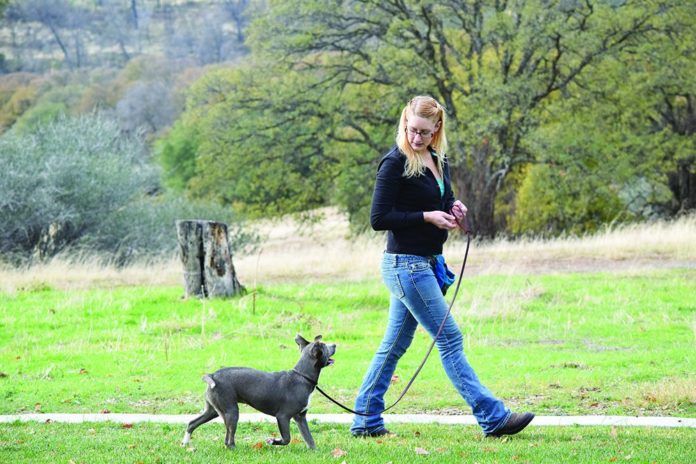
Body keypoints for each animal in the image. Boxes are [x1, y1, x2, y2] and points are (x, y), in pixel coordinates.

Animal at [182, 334, 338, 450]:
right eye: (325, 346)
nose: (335, 345)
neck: (302, 376)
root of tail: (213, 375)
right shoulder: (283, 417)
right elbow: (287, 439)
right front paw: (272, 441)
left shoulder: (300, 417)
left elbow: (309, 439)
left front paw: (315, 452)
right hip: (231, 412)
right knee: (228, 439)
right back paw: (234, 449)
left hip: (213, 410)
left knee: (192, 423)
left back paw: (185, 443)